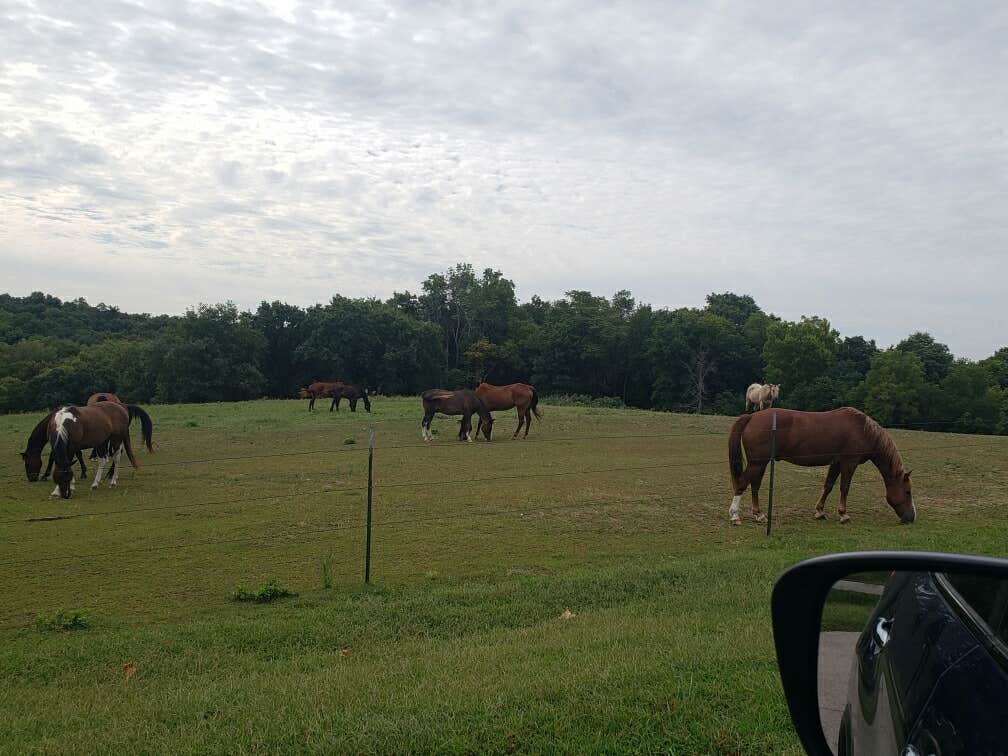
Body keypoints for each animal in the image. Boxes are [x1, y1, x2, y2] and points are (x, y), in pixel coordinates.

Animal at [727, 407, 915, 526]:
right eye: (907, 492)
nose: (911, 518)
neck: (862, 430)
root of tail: (752, 417)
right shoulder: (849, 462)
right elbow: (844, 487)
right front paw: (843, 515)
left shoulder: (836, 462)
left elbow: (829, 485)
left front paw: (819, 512)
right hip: (757, 463)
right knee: (742, 483)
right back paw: (735, 516)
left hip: (761, 463)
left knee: (755, 485)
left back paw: (759, 515)